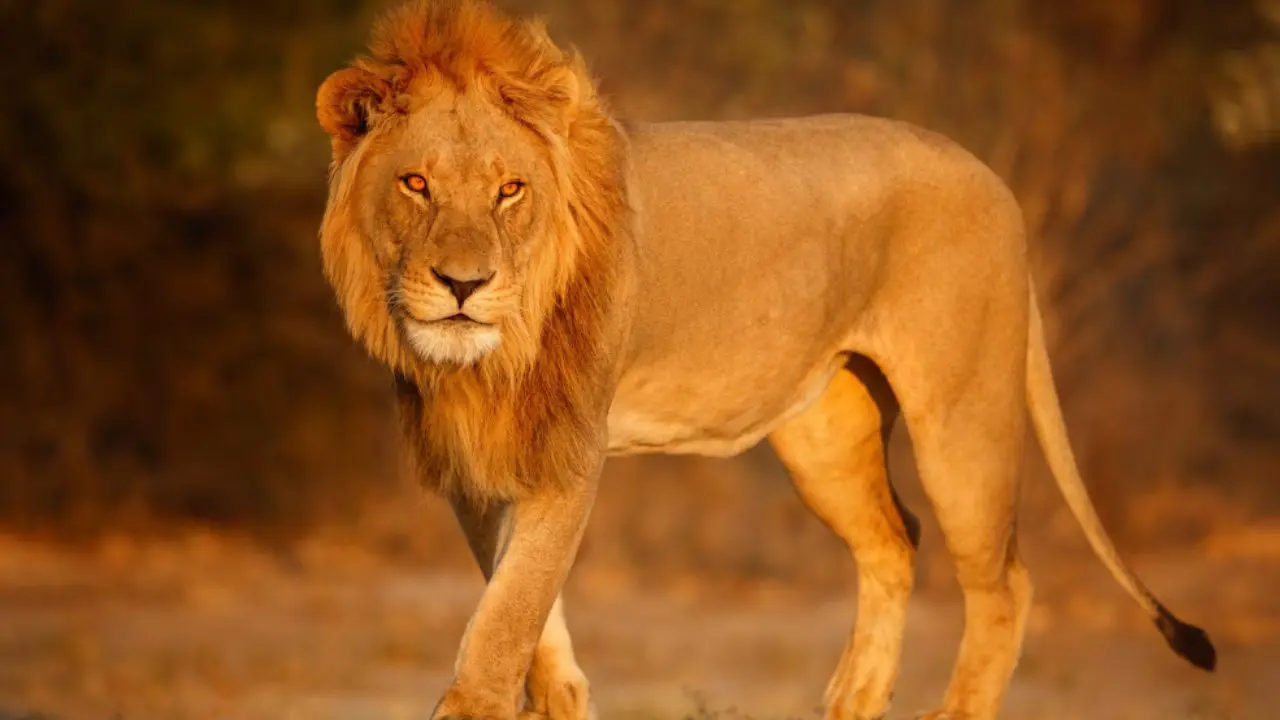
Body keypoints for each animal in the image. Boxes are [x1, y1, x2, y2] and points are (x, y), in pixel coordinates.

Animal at [314, 1, 1216, 718]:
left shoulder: (568, 450)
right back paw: (853, 702)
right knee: (895, 539)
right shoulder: (474, 462)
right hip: (824, 434)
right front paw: (563, 696)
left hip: (964, 416)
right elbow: (527, 616)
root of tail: (994, 179)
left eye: (510, 190)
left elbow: (506, 620)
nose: (465, 285)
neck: (485, 365)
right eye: (417, 183)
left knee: (1003, 583)